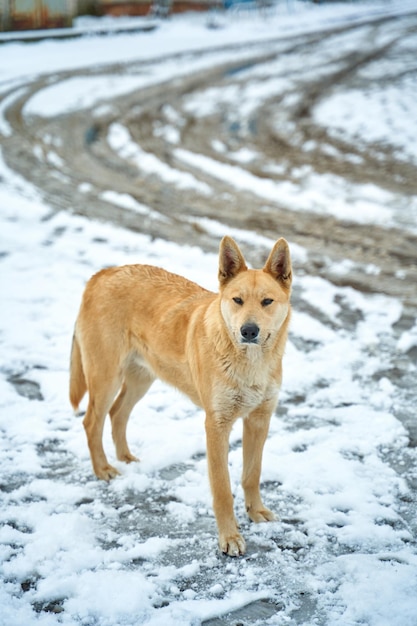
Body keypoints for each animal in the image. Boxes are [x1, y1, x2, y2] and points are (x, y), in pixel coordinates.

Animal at [70, 236, 290, 552]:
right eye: (237, 300)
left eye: (267, 302)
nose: (249, 331)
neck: (250, 364)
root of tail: (103, 273)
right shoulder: (216, 425)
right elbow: (222, 488)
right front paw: (229, 537)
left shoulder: (259, 420)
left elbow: (252, 474)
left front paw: (256, 511)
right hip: (106, 377)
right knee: (92, 422)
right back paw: (103, 469)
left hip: (142, 378)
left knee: (117, 413)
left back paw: (125, 459)